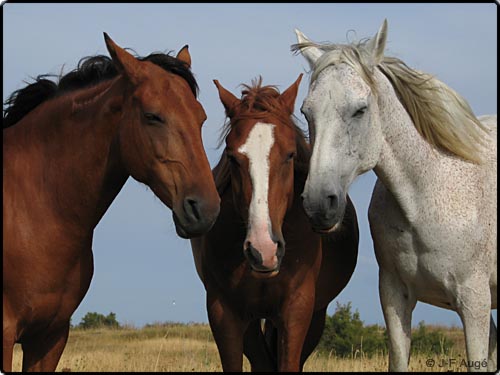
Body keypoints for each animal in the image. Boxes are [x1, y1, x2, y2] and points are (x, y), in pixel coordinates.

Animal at [292, 20, 496, 374]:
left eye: (360, 110)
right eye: (307, 112)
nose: (319, 204)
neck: (424, 196)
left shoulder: (474, 302)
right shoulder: (394, 296)